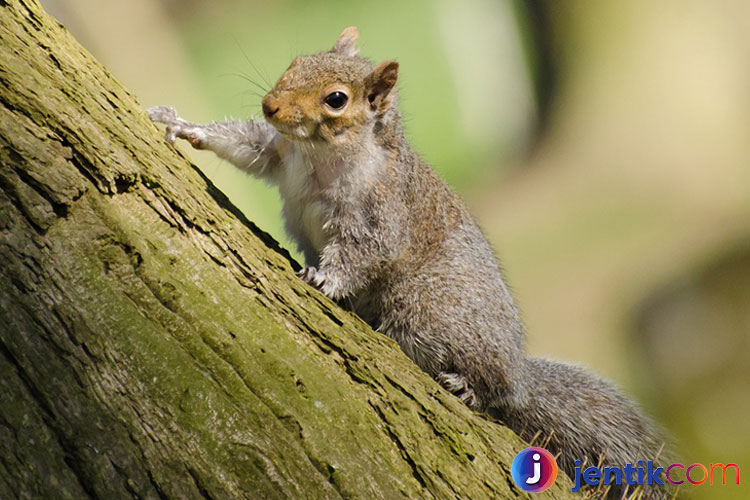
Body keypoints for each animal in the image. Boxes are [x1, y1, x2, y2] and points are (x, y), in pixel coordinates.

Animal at [150, 28, 672, 500]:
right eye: (297, 61)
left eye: (336, 99)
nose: (270, 106)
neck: (323, 153)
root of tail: (519, 369)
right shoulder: (279, 152)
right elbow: (246, 146)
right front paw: (182, 125)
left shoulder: (380, 213)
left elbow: (361, 252)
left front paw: (324, 277)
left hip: (427, 308)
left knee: (496, 388)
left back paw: (470, 387)